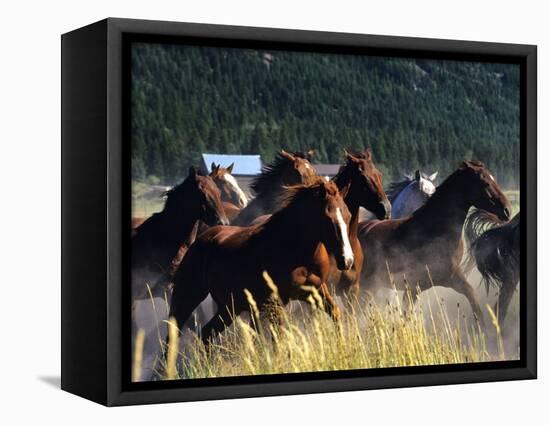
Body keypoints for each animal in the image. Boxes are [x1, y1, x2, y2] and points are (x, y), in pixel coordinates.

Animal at [170, 177, 356, 342]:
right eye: (327, 217)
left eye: (348, 215)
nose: (346, 260)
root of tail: (202, 239)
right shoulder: (276, 303)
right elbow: (279, 339)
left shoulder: (317, 289)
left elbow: (335, 313)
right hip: (188, 296)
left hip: (230, 306)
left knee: (207, 334)